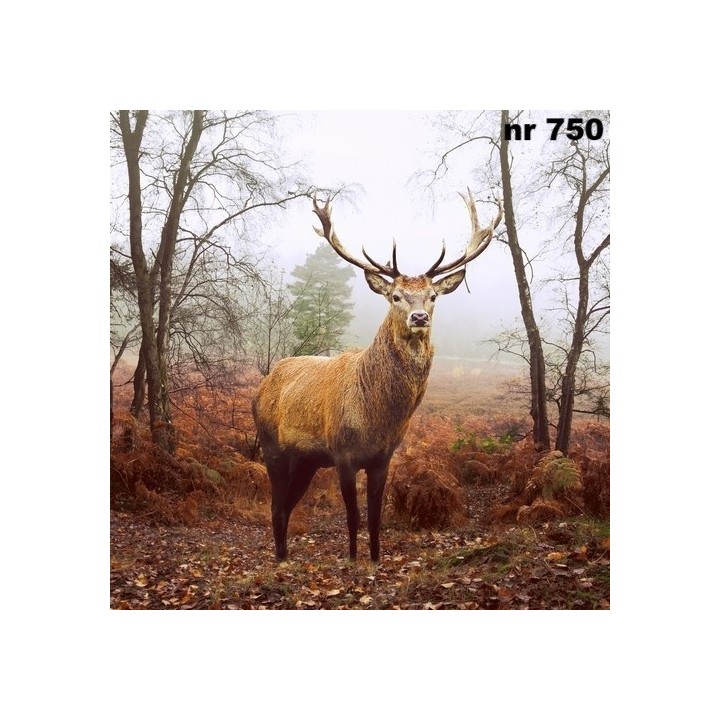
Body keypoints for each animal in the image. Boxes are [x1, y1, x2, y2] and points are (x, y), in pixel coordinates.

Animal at [252, 192, 503, 562]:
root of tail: (260, 388)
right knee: (276, 506)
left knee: (286, 505)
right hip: (272, 448)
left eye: (433, 296)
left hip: (306, 461)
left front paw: (374, 558)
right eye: (395, 296)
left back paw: (284, 556)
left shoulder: (383, 458)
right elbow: (353, 517)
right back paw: (281, 559)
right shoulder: (343, 454)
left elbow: (374, 517)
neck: (376, 417)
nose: (419, 317)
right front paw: (353, 558)